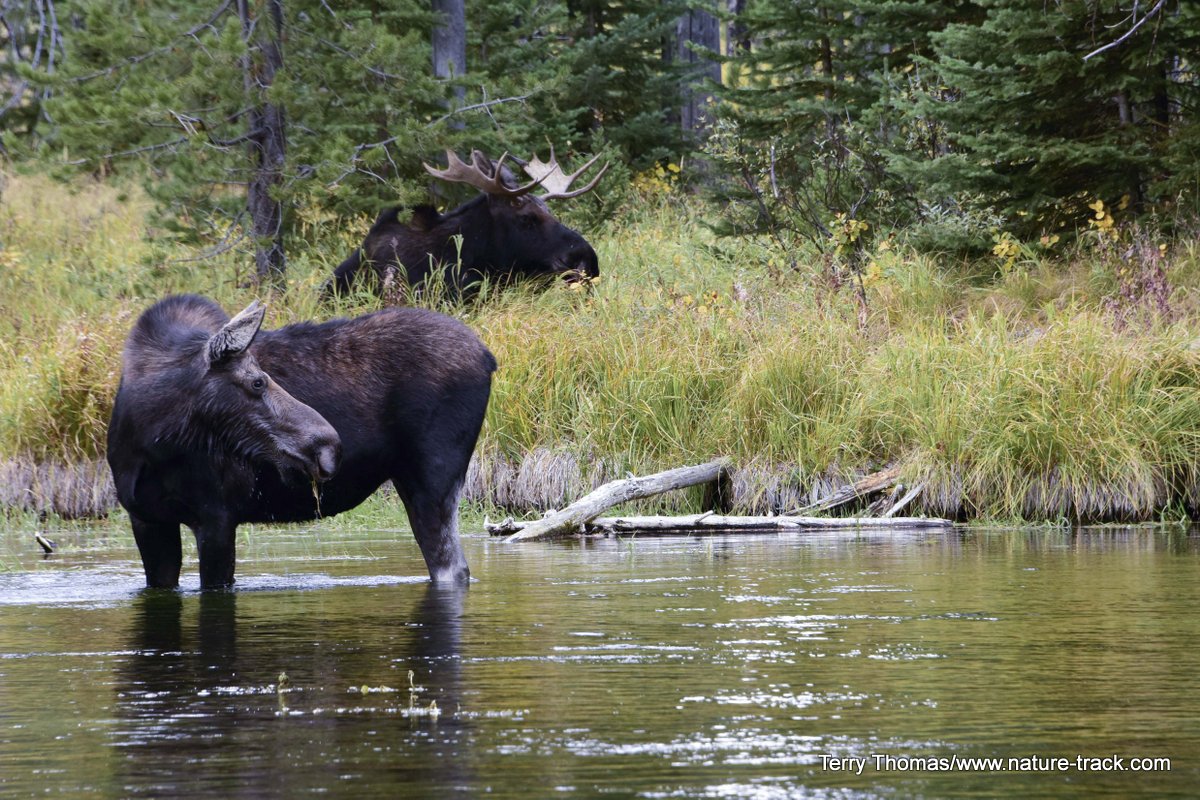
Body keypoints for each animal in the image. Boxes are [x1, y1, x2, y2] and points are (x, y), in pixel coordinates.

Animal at [105, 293, 494, 587]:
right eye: (258, 381)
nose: (329, 445)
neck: (150, 444)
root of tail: (489, 357)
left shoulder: (217, 517)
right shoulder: (146, 519)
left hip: (434, 478)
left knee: (452, 567)